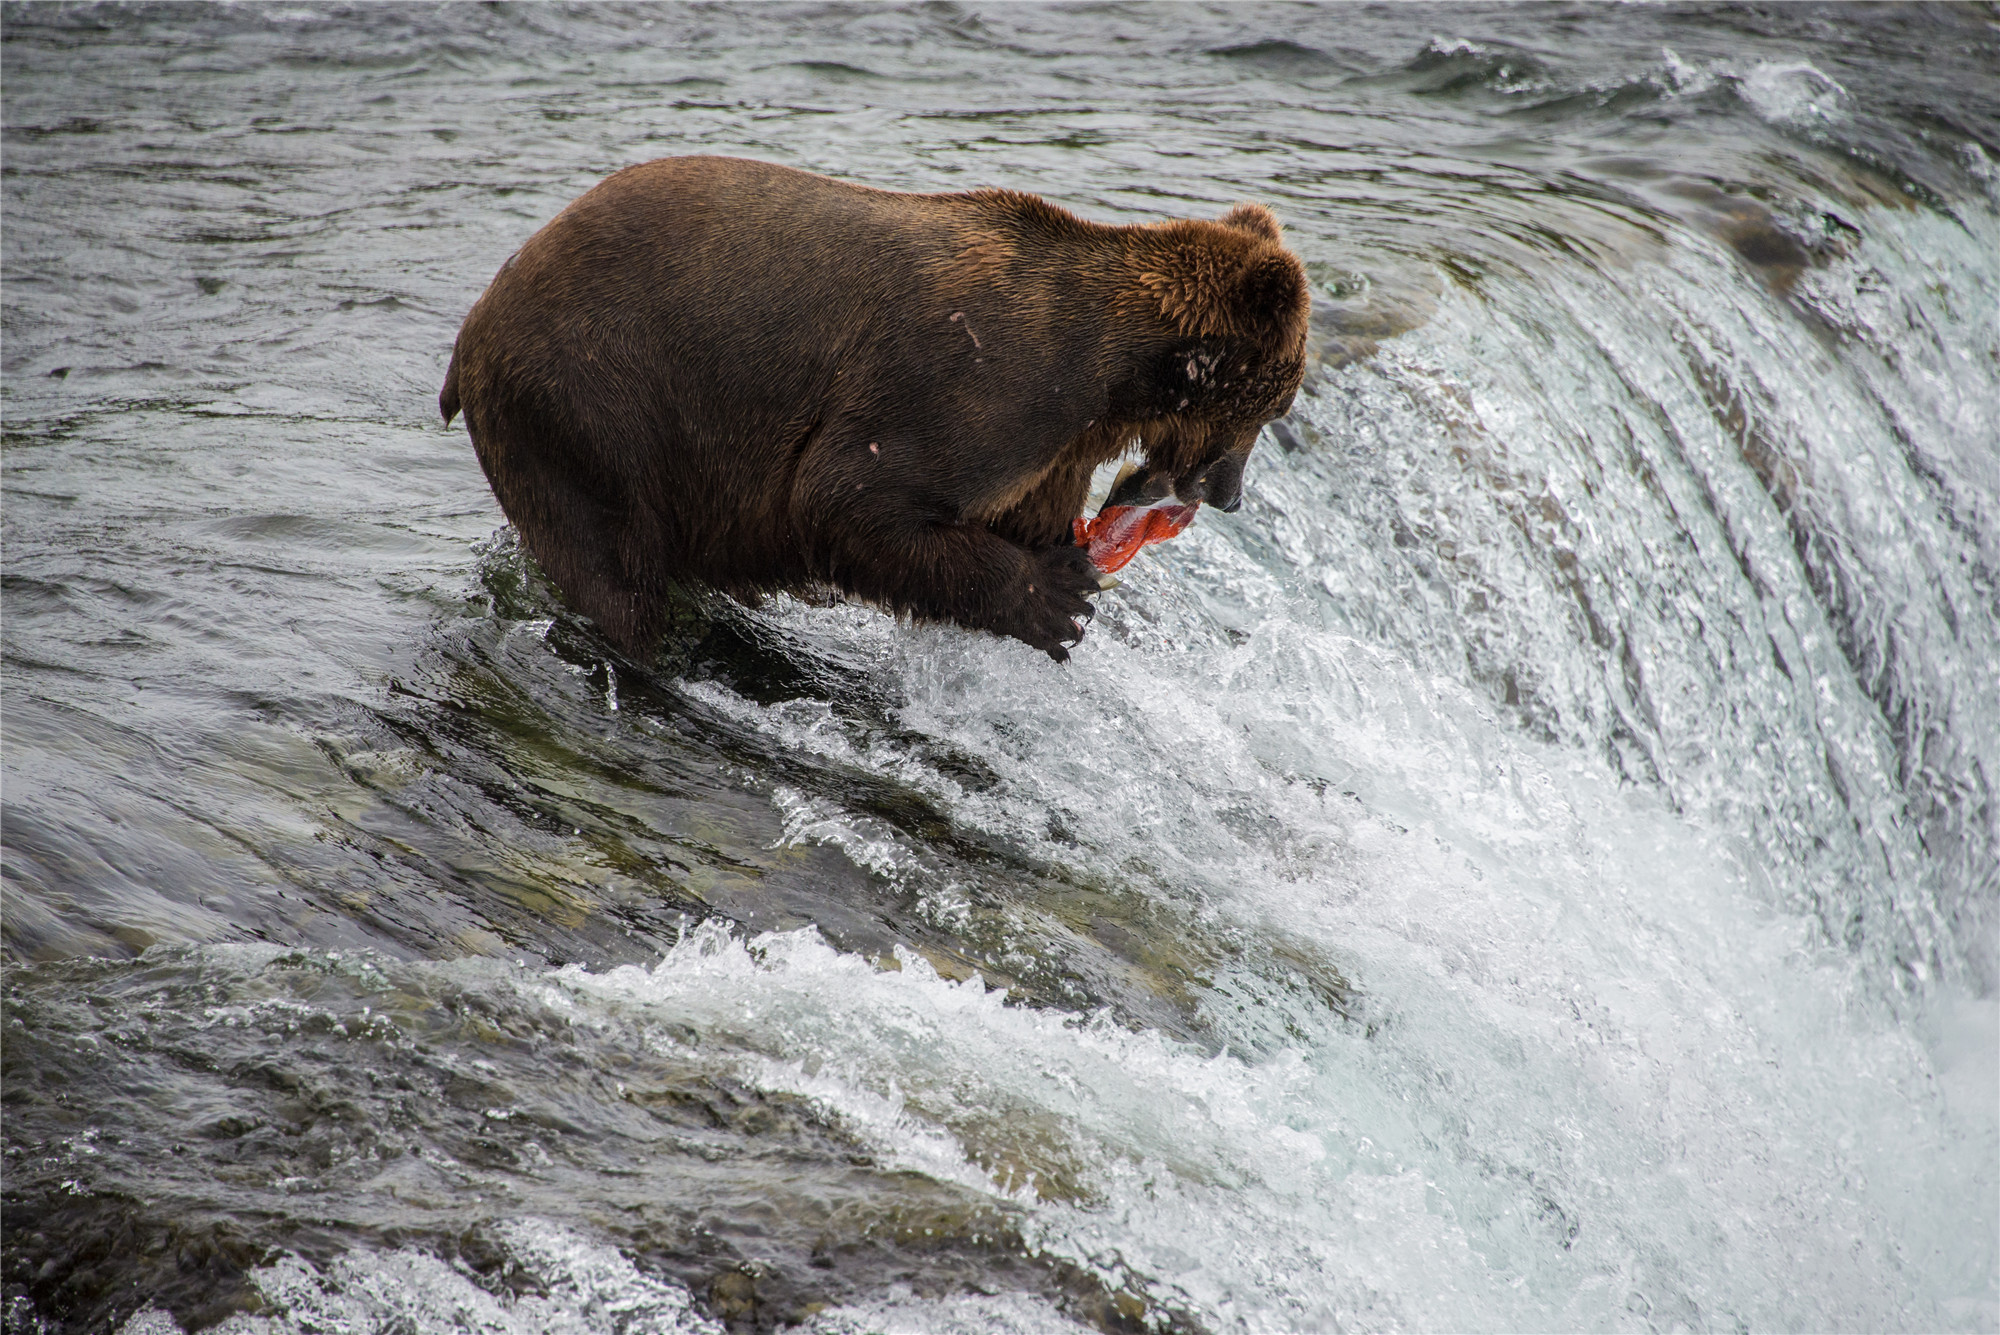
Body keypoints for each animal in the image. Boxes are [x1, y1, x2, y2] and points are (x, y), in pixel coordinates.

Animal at [440, 158, 1312, 659]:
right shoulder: (987, 383)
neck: (1114, 376)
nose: (1228, 493)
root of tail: (473, 324)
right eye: (1271, 408)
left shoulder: (1054, 450)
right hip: (593, 397)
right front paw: (1054, 598)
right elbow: (851, 493)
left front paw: (1070, 571)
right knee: (613, 562)